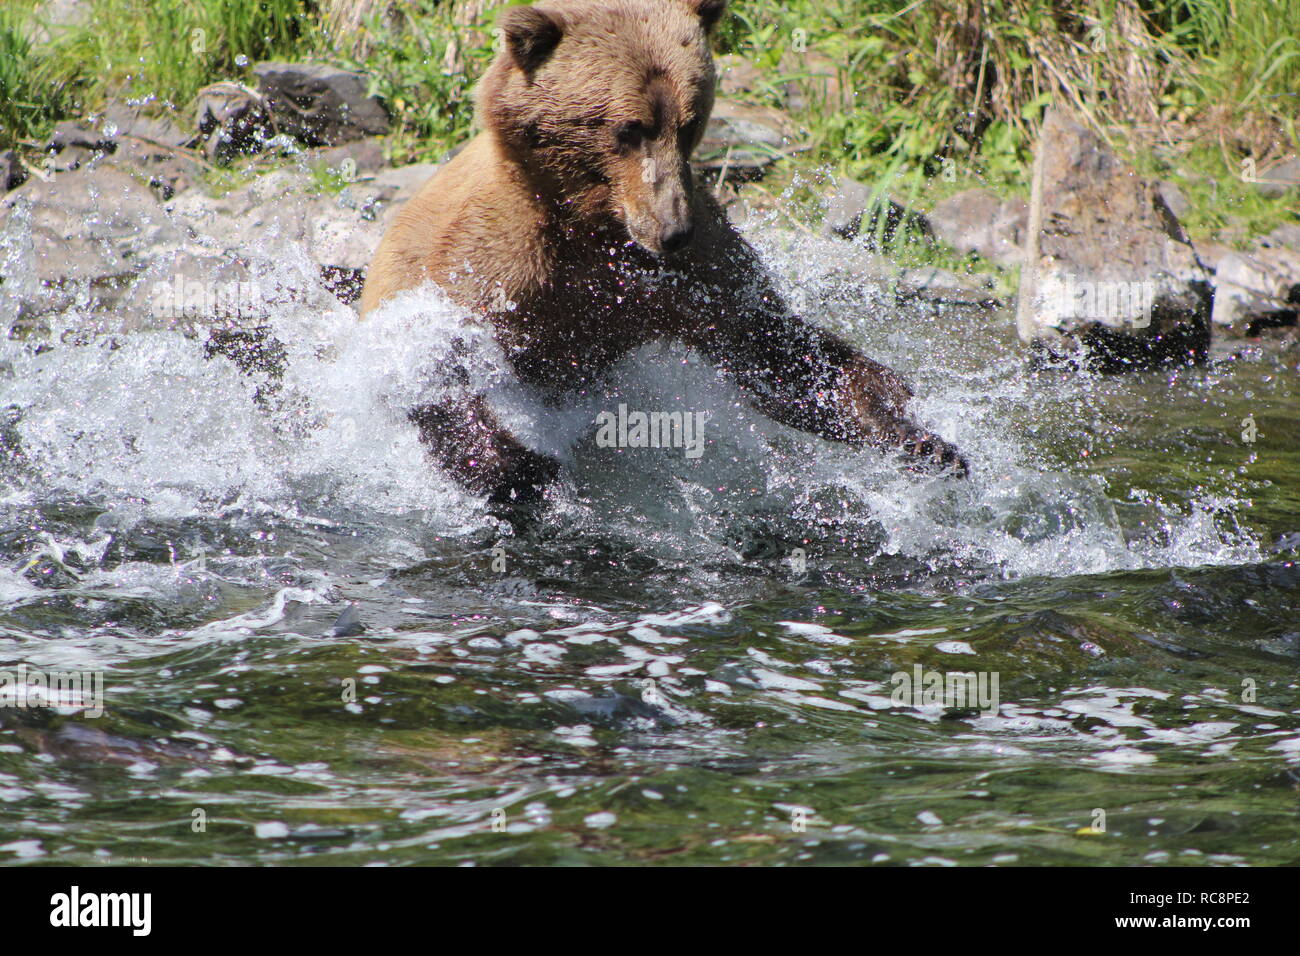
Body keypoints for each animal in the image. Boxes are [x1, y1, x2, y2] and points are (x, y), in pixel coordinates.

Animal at [356, 0, 967, 515]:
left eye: (692, 120)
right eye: (630, 127)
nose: (674, 230)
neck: (593, 225)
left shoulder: (688, 276)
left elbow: (774, 352)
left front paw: (917, 435)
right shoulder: (488, 264)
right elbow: (435, 368)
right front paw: (521, 469)